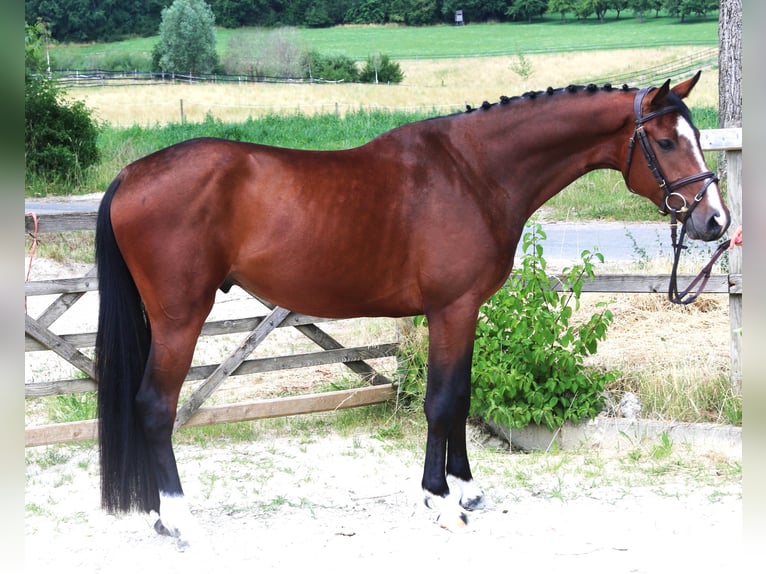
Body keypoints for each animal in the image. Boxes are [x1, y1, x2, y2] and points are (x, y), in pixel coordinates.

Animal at [94, 72, 729, 547]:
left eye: (696, 136)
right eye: (666, 142)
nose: (714, 221)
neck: (473, 172)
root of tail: (130, 175)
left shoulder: (465, 311)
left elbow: (462, 396)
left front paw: (466, 487)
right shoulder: (452, 309)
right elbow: (441, 401)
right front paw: (442, 502)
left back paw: (159, 515)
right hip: (181, 319)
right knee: (154, 406)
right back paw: (179, 519)